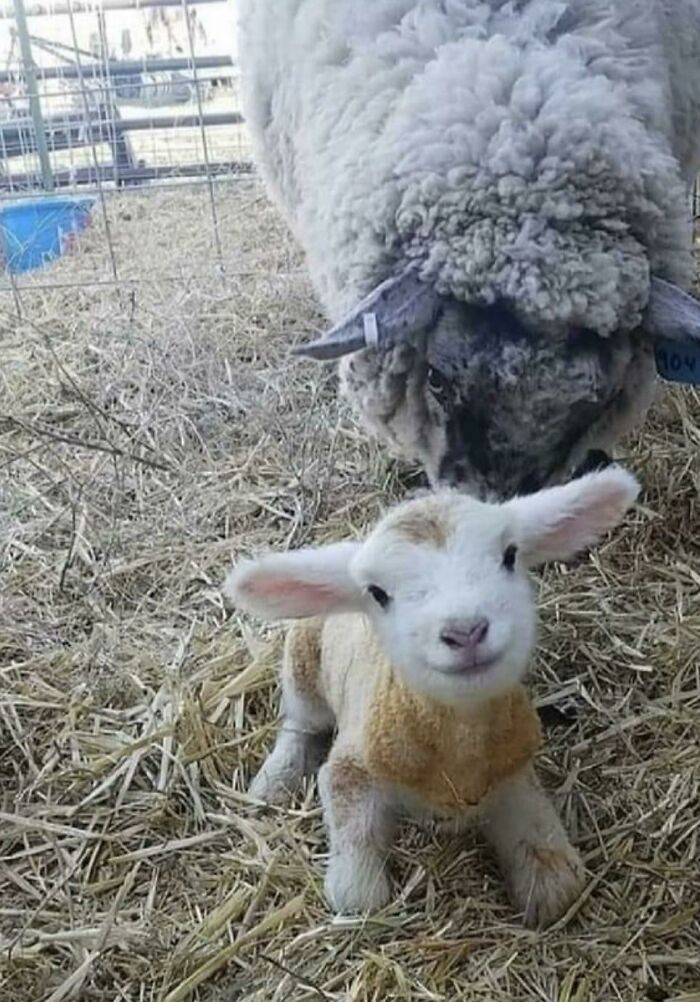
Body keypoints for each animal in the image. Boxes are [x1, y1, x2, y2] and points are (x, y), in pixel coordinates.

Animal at [225, 465, 639, 925]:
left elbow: (555, 872)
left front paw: (546, 882)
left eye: (510, 555)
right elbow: (358, 892)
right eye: (377, 593)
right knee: (300, 724)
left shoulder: (511, 769)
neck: (458, 748)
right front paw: (359, 890)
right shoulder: (352, 768)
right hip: (303, 663)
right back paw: (274, 781)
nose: (466, 631)